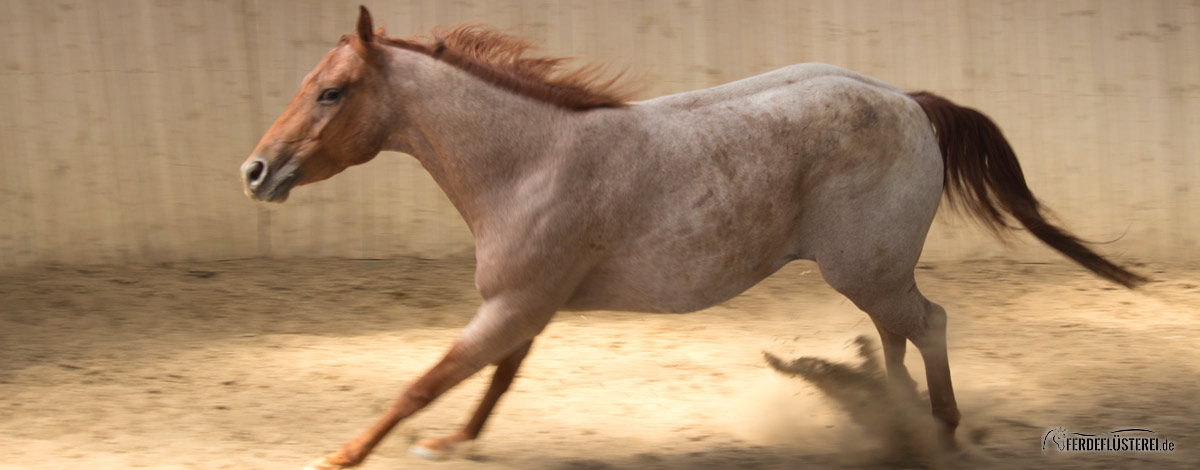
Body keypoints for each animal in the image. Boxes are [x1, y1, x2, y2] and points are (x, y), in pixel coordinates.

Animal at [238, 8, 1147, 470]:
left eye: (331, 91)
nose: (255, 170)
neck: (530, 161)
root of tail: (910, 101)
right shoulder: (526, 307)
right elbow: (491, 381)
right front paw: (452, 443)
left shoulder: (512, 304)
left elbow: (422, 383)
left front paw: (340, 458)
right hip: (874, 271)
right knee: (900, 333)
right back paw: (895, 419)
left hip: (871, 267)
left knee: (928, 325)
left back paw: (938, 435)